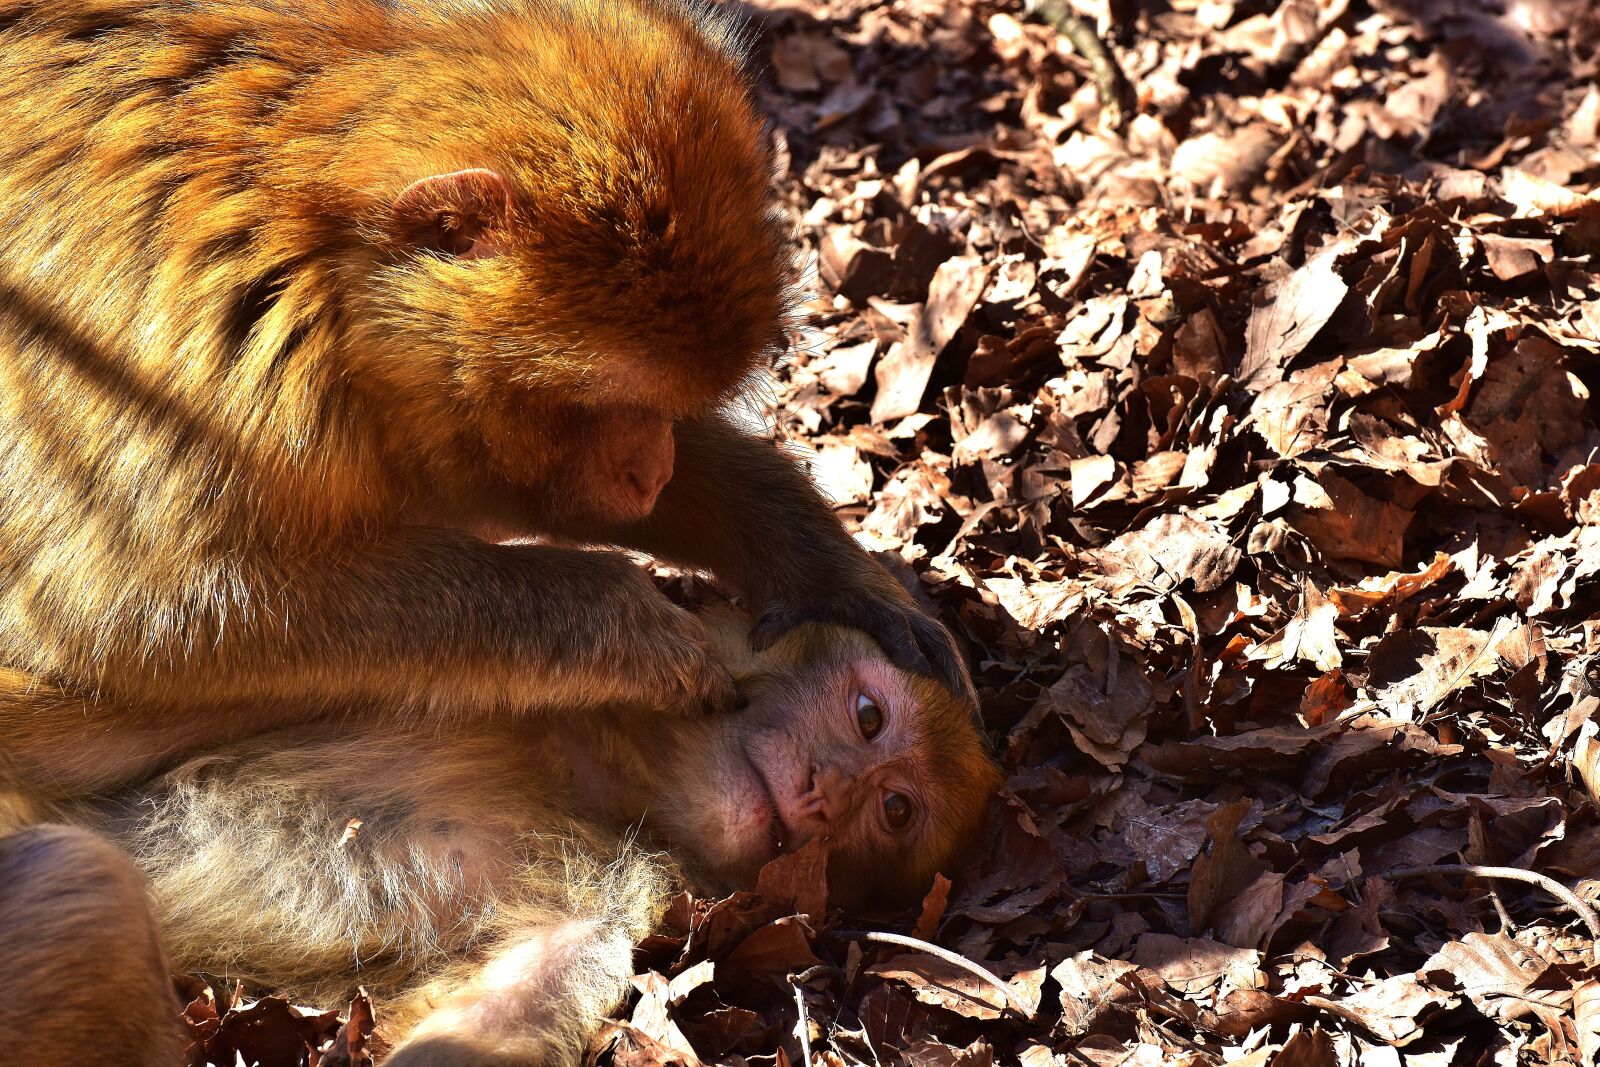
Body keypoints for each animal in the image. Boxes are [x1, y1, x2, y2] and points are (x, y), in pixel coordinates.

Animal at [0, 0, 971, 795]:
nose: (651, 473)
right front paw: (617, 624)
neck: (308, 248)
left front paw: (824, 569)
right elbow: (145, 617)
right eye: (596, 401)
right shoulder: (195, 368)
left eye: (667, 405)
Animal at [0, 607, 1002, 1067]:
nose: (829, 797)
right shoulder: (448, 663)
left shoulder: (612, 903)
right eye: (867, 715)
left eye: (895, 810)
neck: (602, 778)